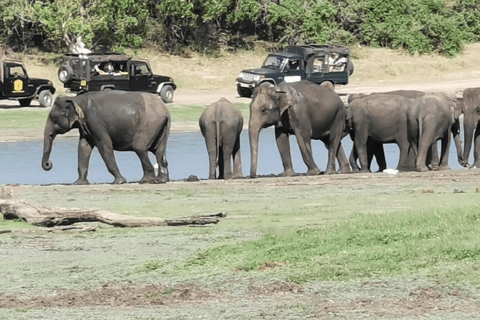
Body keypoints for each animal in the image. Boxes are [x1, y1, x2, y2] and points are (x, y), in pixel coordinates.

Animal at [41, 91, 171, 184]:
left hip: (149, 125)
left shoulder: (96, 122)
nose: (48, 164)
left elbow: (104, 146)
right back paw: (161, 180)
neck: (76, 99)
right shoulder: (86, 126)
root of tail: (166, 111)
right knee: (159, 151)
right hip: (160, 127)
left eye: (53, 118)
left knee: (139, 148)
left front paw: (119, 182)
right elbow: (84, 147)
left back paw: (147, 181)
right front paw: (78, 183)